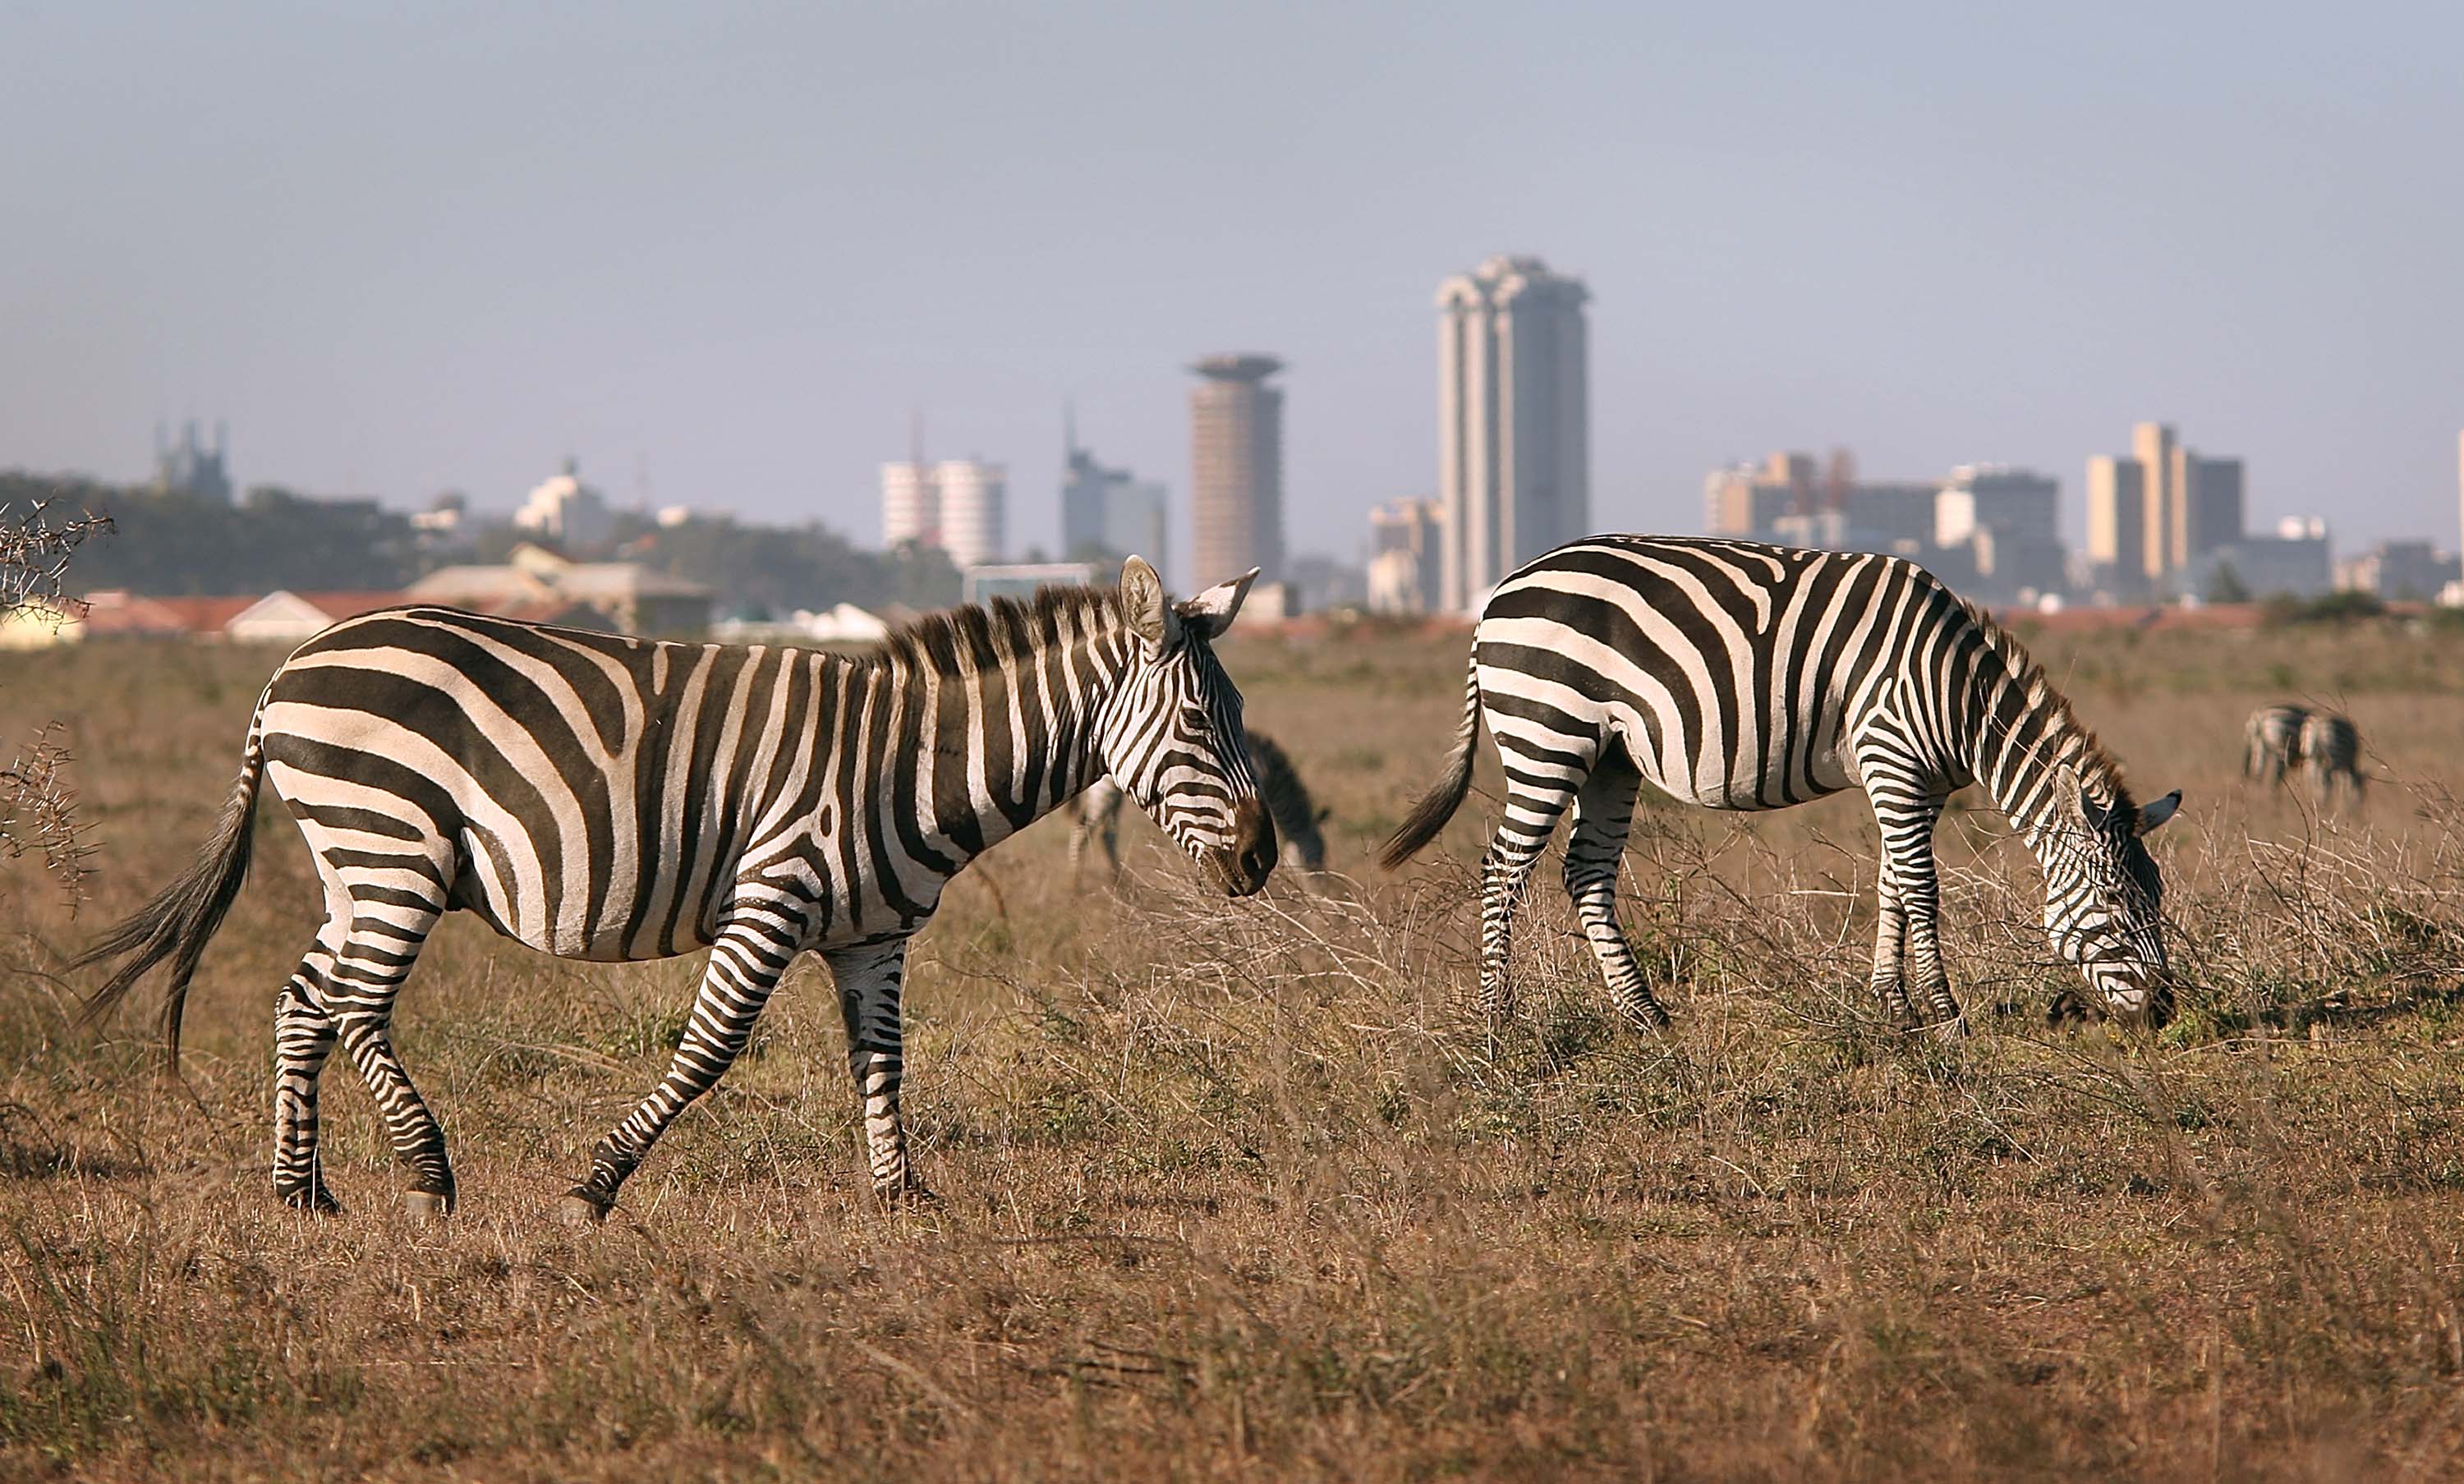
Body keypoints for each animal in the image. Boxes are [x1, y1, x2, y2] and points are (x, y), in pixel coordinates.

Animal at [73, 557, 1276, 1223]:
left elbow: (884, 1060)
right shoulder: (773, 895)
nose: (1263, 861)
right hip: (394, 846)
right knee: (357, 1005)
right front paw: (592, 1189)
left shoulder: (873, 934)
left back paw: (302, 1192)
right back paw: (425, 1175)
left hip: (354, 863)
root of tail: (292, 663)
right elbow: (707, 1051)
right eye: (1200, 720)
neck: (908, 762)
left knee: (303, 1000)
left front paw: (903, 1196)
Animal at [1070, 729, 1329, 879]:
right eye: (1315, 856)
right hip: (1105, 792)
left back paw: (1121, 886)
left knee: (1107, 834)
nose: (1321, 890)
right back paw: (1077, 889)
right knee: (1083, 830)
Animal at [1379, 536, 2182, 1034]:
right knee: (1502, 868)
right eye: (2118, 902)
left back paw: (1645, 1016)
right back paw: (1499, 1018)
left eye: (2158, 899)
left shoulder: (1913, 782)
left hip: (1608, 756)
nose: (2165, 1011)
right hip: (1548, 733)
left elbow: (1892, 885)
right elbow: (1922, 889)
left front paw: (1893, 1007)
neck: (1957, 699)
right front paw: (1946, 1015)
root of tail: (1499, 593)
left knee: (1586, 873)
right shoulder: (1892, 757)